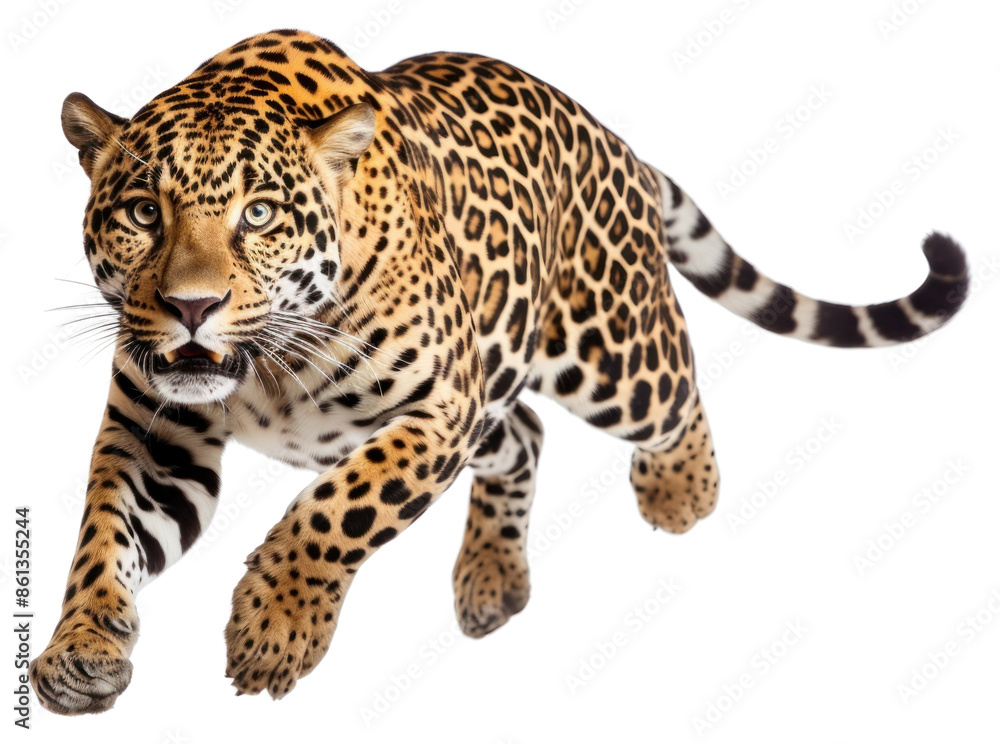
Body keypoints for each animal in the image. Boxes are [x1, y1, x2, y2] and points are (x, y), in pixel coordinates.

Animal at [29, 29, 969, 714]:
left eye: (258, 215)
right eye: (142, 213)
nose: (192, 306)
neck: (266, 369)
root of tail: (615, 142)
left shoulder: (436, 408)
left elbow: (338, 509)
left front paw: (276, 628)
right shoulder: (157, 435)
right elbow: (104, 535)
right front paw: (80, 650)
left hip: (606, 348)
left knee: (673, 383)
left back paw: (682, 490)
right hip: (501, 388)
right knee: (525, 435)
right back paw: (491, 579)